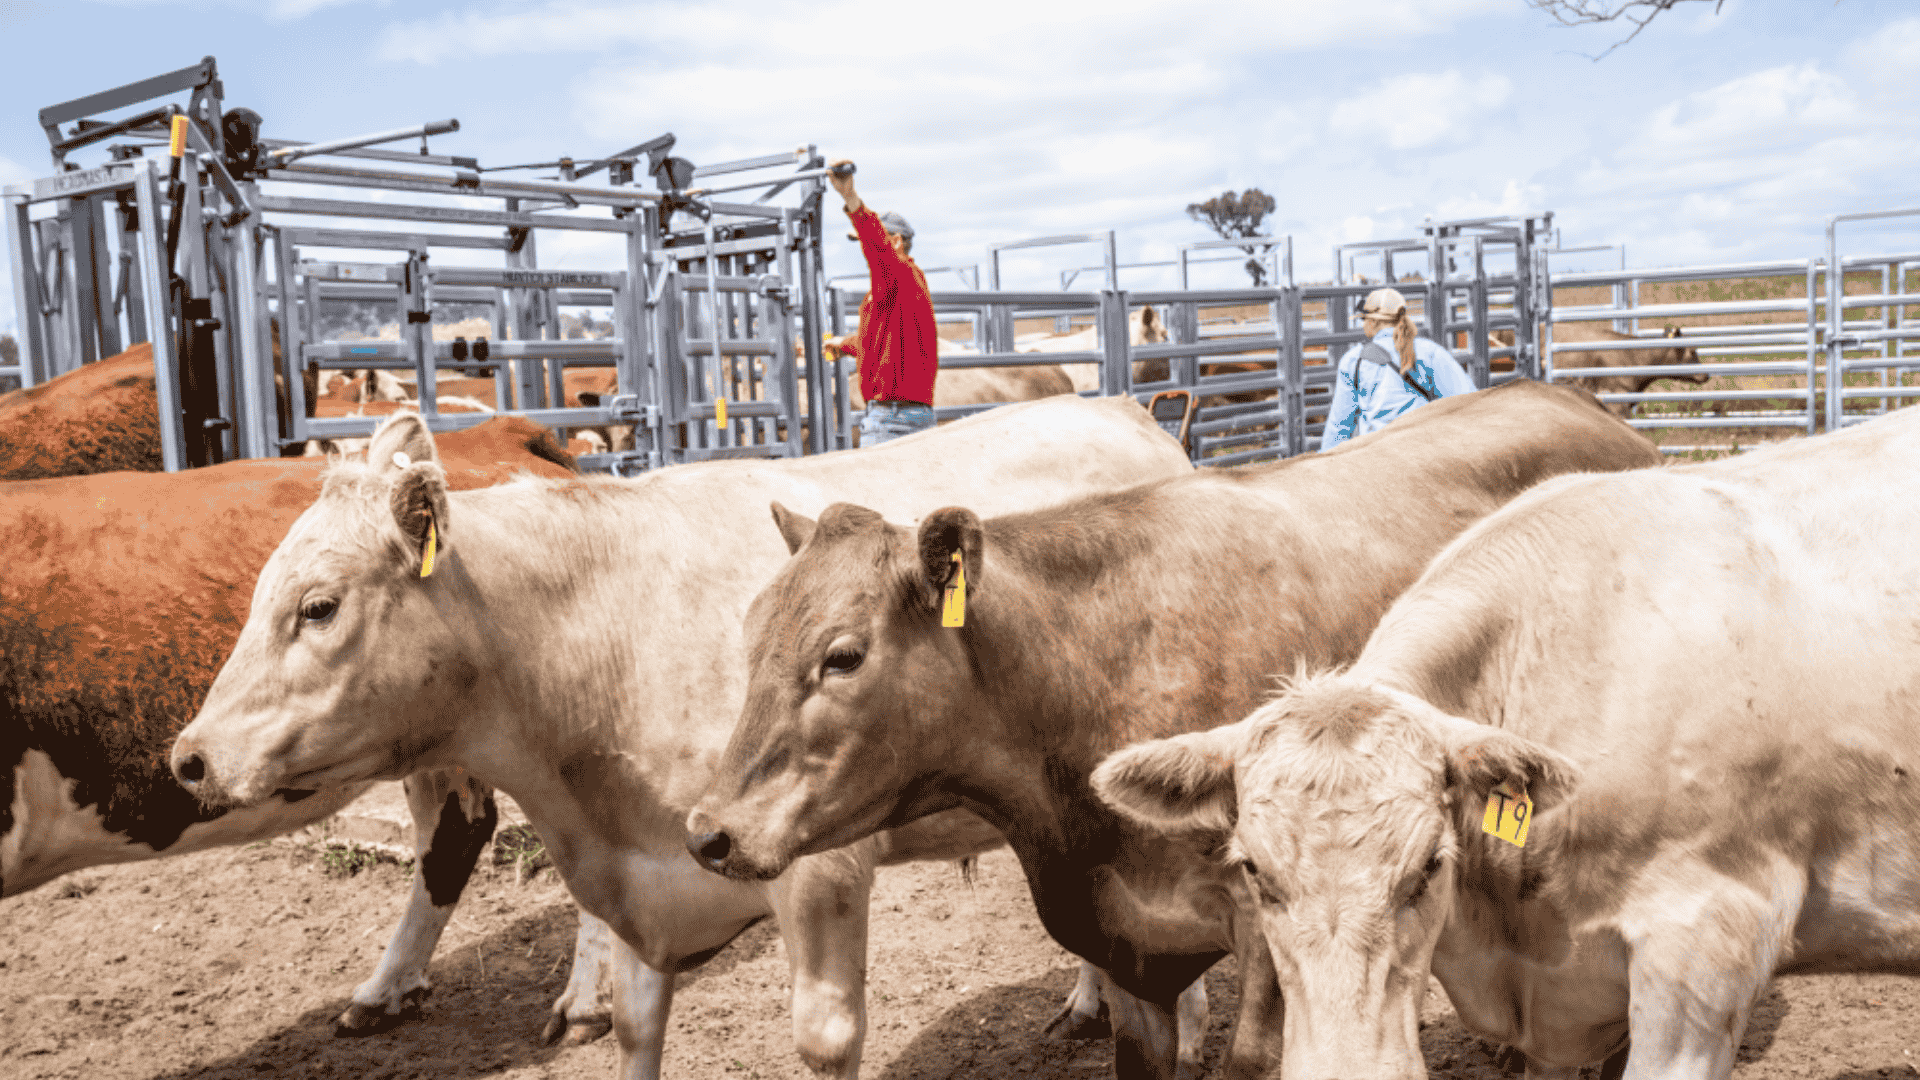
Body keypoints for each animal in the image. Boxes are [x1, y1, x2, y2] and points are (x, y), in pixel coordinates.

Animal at [0, 416, 621, 1043]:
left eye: (318, 607)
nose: (188, 760)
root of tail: (500, 431)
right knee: (454, 834)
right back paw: (386, 991)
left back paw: (585, 1000)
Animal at [167, 395, 1196, 1080]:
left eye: (318, 605)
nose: (189, 756)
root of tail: (1124, 411)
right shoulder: (636, 883)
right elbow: (635, 1027)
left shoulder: (817, 869)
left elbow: (823, 1040)